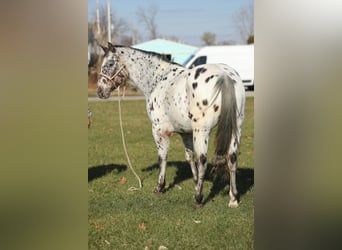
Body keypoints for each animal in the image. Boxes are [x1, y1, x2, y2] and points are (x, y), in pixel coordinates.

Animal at [97, 43, 244, 207]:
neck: (159, 79)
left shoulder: (159, 131)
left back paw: (198, 199)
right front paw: (195, 183)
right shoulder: (186, 133)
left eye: (109, 64)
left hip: (202, 131)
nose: (100, 91)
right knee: (232, 159)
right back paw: (233, 199)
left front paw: (160, 187)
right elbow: (189, 157)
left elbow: (162, 157)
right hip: (235, 129)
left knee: (203, 161)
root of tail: (224, 75)